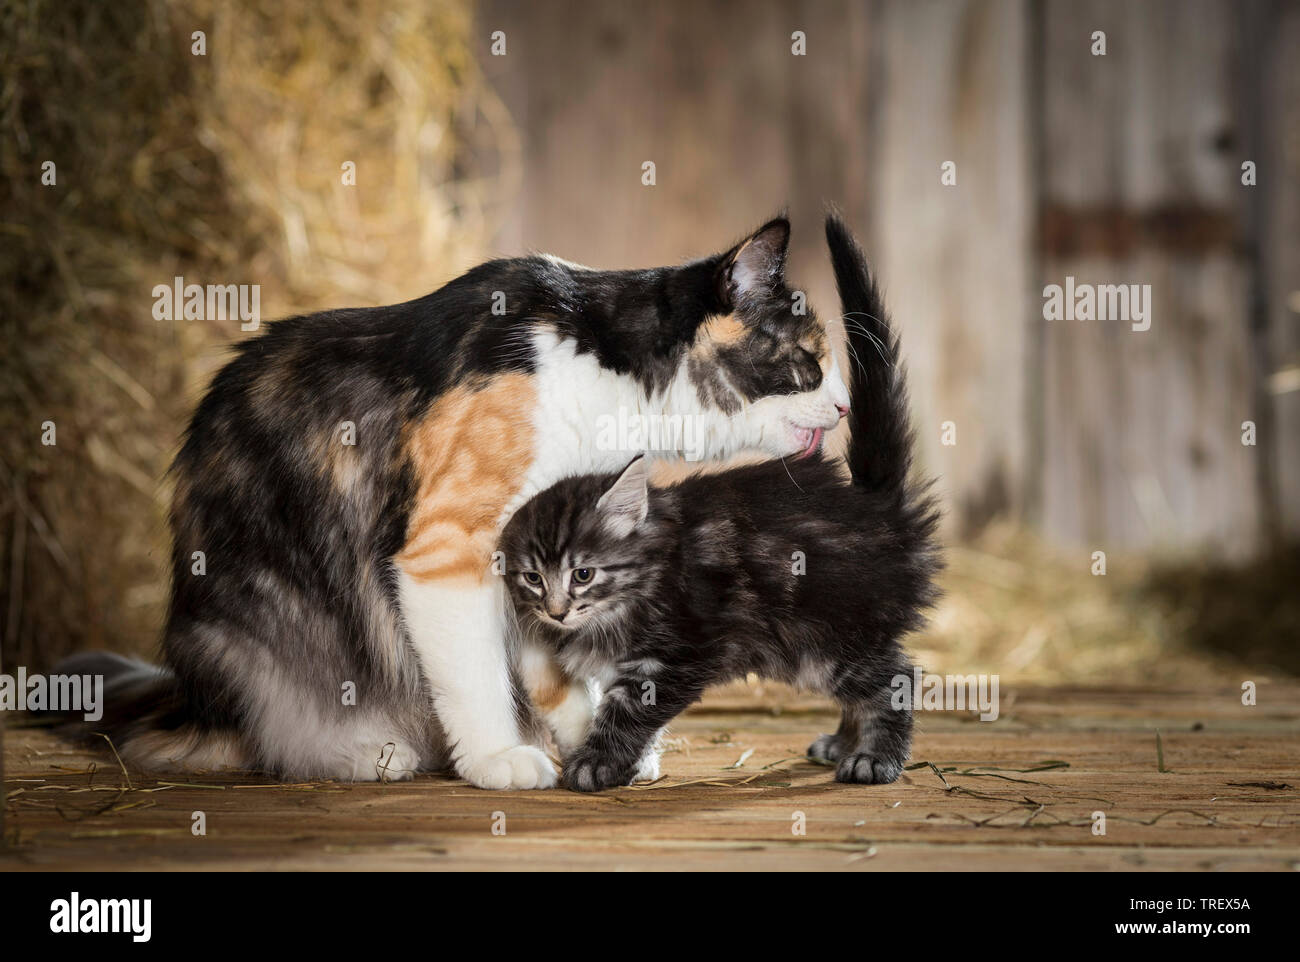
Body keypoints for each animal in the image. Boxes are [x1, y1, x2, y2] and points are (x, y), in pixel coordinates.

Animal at [61, 214, 852, 785]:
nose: (846, 406)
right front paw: (497, 759)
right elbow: (477, 675)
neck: (603, 372)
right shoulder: (449, 547)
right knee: (273, 728)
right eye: (810, 360)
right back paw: (364, 751)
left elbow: (552, 668)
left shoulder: (544, 554)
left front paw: (593, 742)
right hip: (263, 624)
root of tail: (184, 700)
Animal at [499, 215, 946, 790]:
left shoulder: (674, 653)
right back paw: (843, 742)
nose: (556, 611)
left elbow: (628, 711)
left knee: (895, 676)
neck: (646, 572)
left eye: (583, 574)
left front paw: (598, 763)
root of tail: (875, 504)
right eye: (533, 577)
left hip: (832, 633)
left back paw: (874, 758)